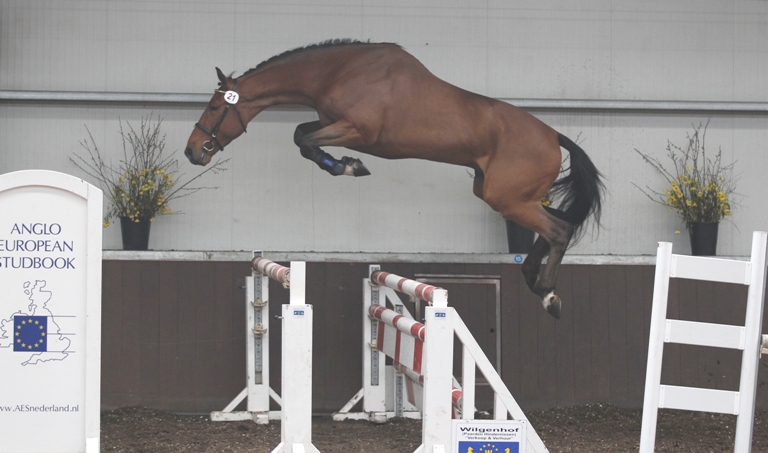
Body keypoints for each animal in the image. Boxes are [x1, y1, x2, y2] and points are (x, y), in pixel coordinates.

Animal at [185, 39, 604, 319]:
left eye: (215, 107)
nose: (192, 151)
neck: (338, 72)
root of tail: (553, 135)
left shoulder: (358, 131)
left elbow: (302, 139)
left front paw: (349, 166)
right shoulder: (331, 123)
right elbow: (302, 136)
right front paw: (346, 164)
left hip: (507, 197)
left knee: (559, 230)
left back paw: (548, 294)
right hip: (504, 194)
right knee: (557, 225)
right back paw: (535, 280)